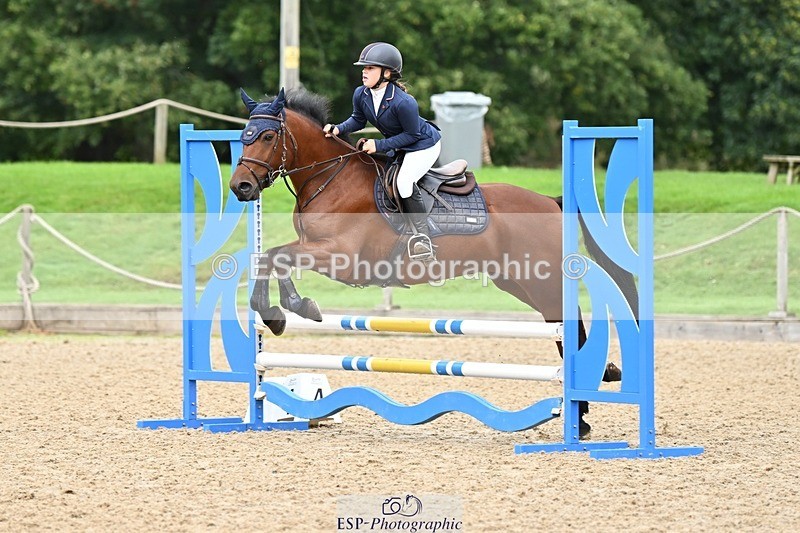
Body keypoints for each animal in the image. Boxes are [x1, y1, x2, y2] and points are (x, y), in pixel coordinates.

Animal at [229, 88, 635, 435]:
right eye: (244, 137)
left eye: (267, 137)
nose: (240, 187)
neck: (330, 177)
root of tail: (551, 202)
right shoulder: (313, 246)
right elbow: (270, 257)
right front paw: (278, 311)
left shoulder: (339, 254)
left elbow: (277, 258)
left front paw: (285, 311)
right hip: (518, 280)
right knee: (562, 327)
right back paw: (586, 408)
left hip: (542, 278)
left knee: (571, 327)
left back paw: (587, 405)